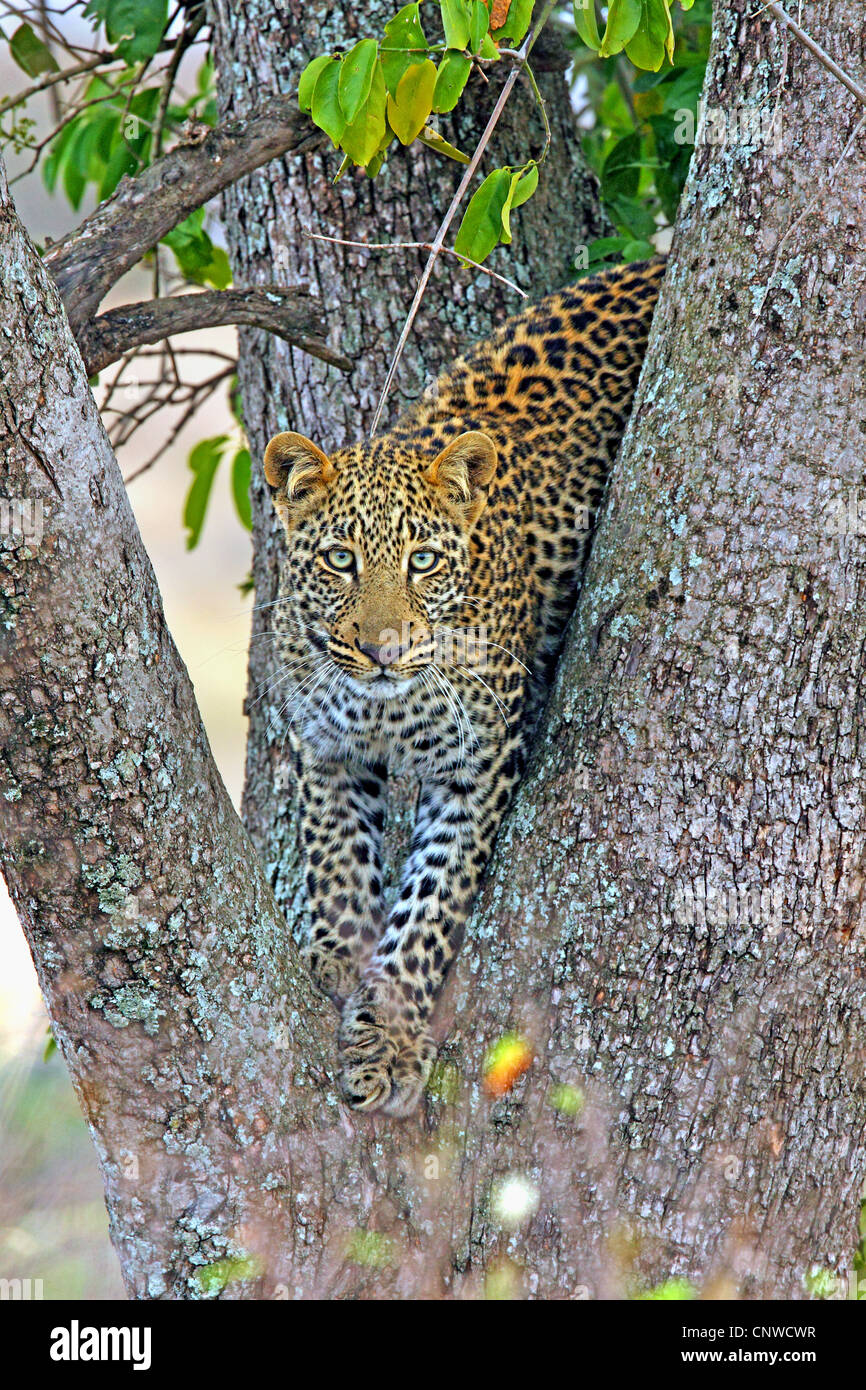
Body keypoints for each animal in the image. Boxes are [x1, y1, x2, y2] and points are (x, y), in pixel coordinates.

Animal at [262, 257, 665, 1116]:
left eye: (423, 562)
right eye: (340, 560)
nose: (382, 651)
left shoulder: (477, 764)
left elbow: (431, 902)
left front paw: (387, 1039)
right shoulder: (325, 744)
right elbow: (334, 854)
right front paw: (340, 955)